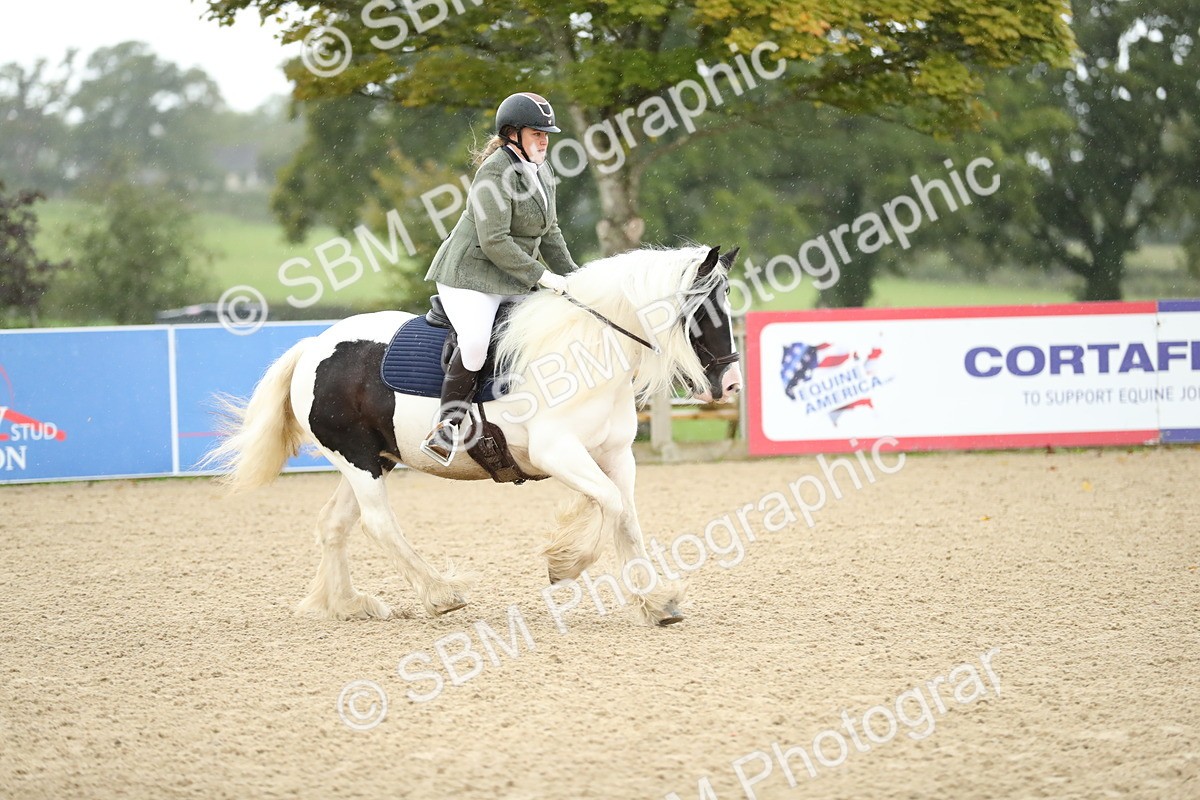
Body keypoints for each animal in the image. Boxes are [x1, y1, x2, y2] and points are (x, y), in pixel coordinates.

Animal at [203, 244, 742, 626]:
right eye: (703, 310)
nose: (733, 384)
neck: (587, 350)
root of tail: (313, 346)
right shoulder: (557, 452)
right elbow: (609, 504)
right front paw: (565, 563)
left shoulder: (614, 455)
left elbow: (624, 516)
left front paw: (656, 600)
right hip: (357, 459)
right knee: (378, 523)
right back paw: (441, 594)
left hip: (374, 458)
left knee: (334, 524)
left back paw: (350, 605)